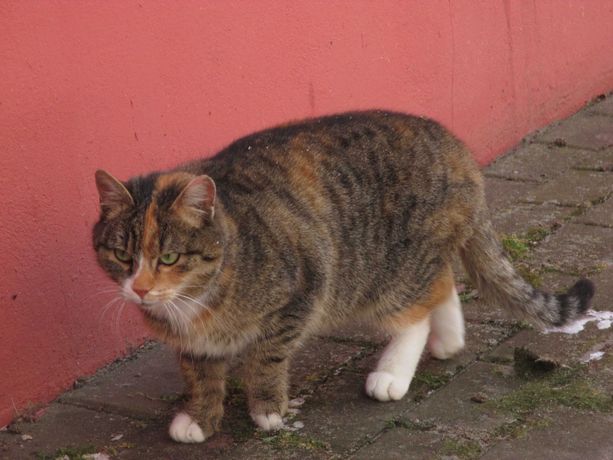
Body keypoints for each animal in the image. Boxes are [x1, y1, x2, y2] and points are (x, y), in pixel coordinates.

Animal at [93, 110, 596, 442]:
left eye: (169, 257)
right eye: (121, 255)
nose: (140, 289)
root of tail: (452, 143)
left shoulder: (302, 291)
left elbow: (267, 357)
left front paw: (267, 409)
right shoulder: (192, 341)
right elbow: (200, 373)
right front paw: (199, 416)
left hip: (385, 271)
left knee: (416, 309)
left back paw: (393, 371)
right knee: (440, 282)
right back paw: (449, 338)